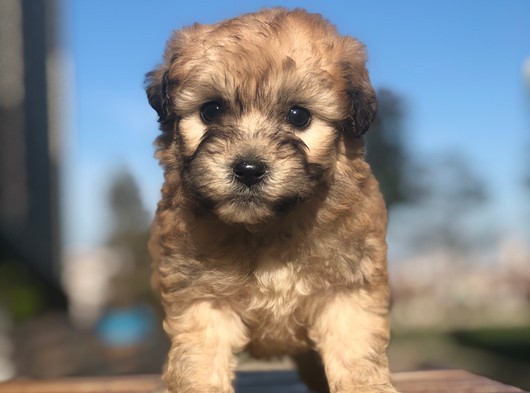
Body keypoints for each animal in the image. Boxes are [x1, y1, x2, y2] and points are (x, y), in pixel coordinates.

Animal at [145, 6, 396, 392]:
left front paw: (366, 385)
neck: (268, 227)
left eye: (298, 115)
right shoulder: (203, 297)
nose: (248, 169)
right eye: (211, 110)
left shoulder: (348, 288)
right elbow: (200, 359)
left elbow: (356, 353)